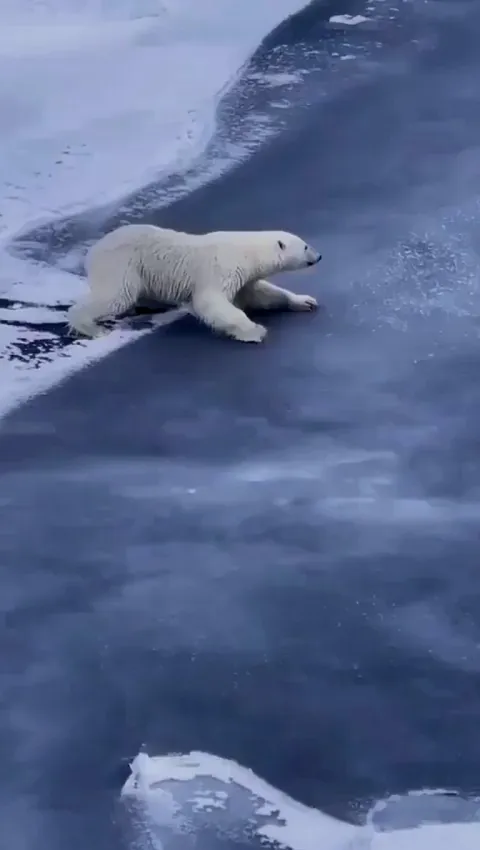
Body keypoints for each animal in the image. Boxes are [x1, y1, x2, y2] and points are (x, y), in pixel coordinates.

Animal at [67, 223, 322, 343]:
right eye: (305, 246)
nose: (319, 256)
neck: (247, 251)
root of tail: (91, 253)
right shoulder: (223, 269)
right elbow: (211, 302)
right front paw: (255, 331)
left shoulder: (244, 277)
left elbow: (259, 294)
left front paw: (305, 301)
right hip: (122, 264)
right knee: (116, 295)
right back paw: (91, 327)